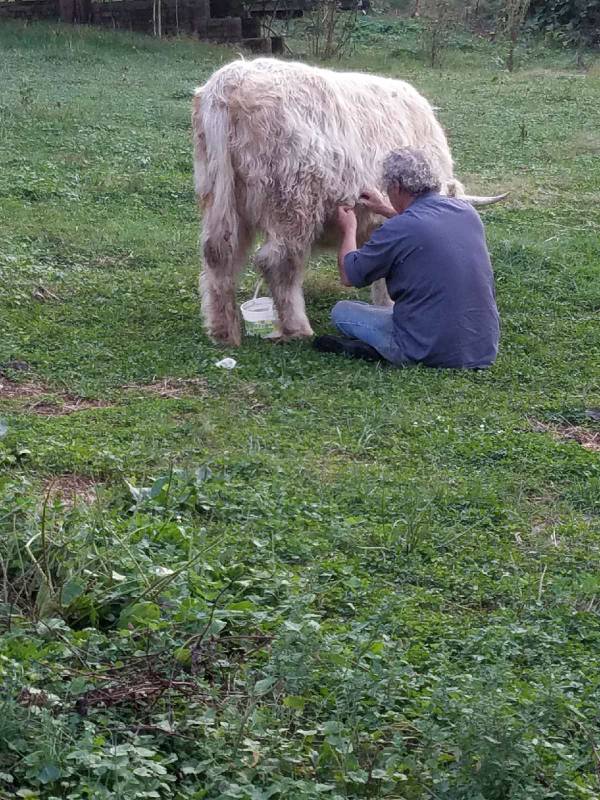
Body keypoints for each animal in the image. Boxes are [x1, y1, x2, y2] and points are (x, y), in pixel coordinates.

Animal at [192, 58, 505, 346]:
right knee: (278, 261)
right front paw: (387, 305)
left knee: (218, 252)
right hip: (293, 204)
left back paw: (222, 330)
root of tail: (230, 82)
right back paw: (296, 328)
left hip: (220, 195)